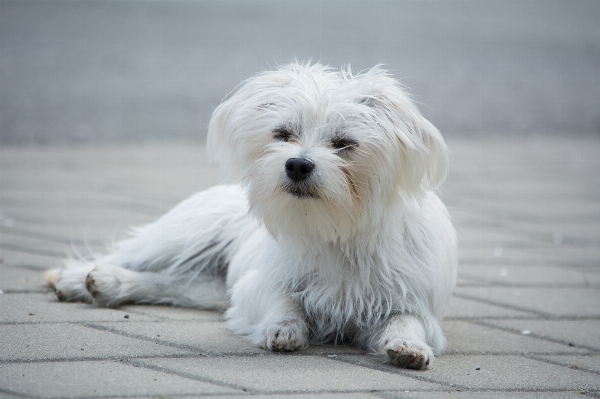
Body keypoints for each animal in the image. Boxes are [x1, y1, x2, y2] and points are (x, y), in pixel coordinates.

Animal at [47, 63, 458, 372]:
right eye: (283, 133)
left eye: (344, 143)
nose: (297, 164)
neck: (338, 230)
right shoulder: (257, 286)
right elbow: (285, 299)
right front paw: (284, 327)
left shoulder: (414, 302)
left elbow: (407, 320)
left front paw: (408, 345)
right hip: (181, 237)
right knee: (127, 257)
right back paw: (77, 279)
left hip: (205, 287)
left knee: (164, 282)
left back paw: (112, 284)